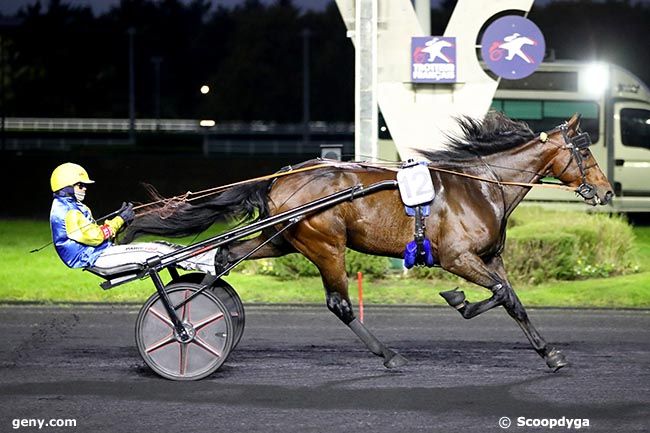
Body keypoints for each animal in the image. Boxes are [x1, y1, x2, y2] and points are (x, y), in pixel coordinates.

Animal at [121, 111, 612, 372]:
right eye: (585, 150)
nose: (607, 193)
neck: (481, 184)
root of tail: (281, 177)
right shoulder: (457, 256)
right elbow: (500, 295)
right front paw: (460, 300)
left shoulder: (490, 257)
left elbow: (512, 300)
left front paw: (550, 353)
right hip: (326, 245)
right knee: (339, 303)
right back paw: (388, 354)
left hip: (283, 238)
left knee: (226, 254)